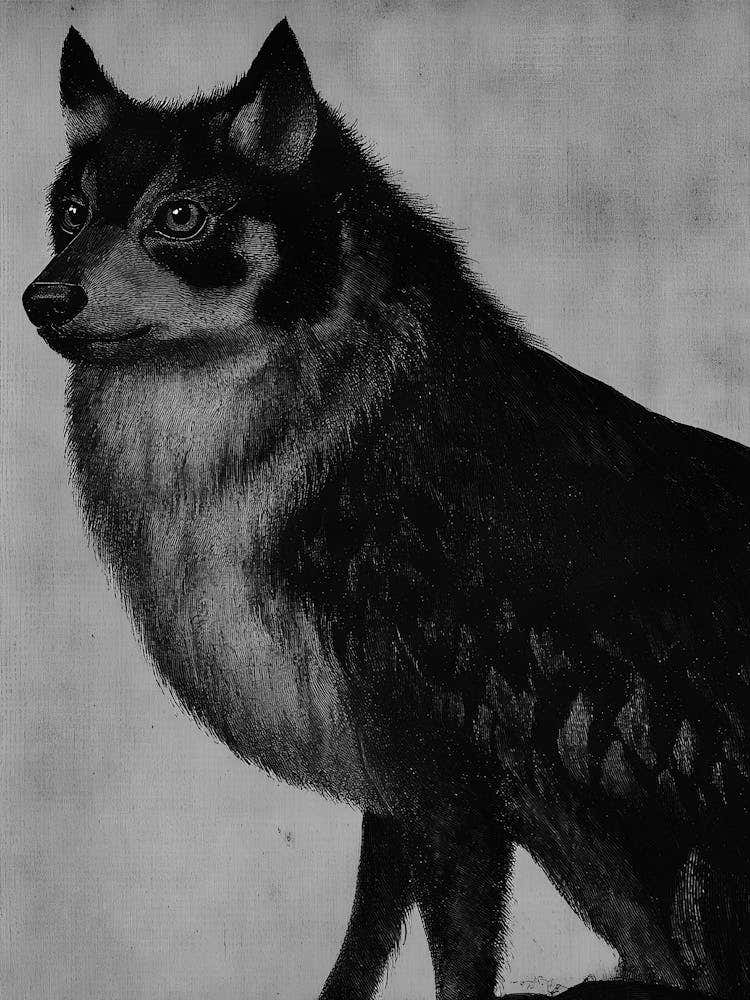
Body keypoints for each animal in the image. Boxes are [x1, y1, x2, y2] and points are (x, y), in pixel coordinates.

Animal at [22, 20, 749, 1000]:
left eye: (179, 216)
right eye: (72, 214)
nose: (41, 299)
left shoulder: (452, 793)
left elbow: (459, 964)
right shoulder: (397, 788)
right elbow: (362, 949)